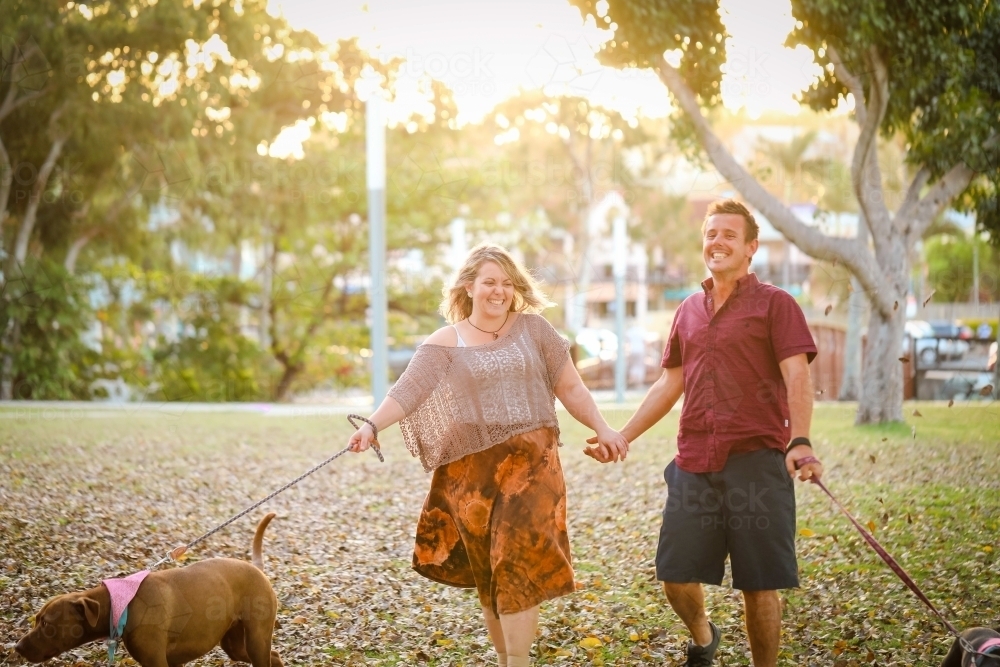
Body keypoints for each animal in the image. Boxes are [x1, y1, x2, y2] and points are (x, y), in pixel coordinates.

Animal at [15, 516, 282, 664]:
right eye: (36, 619)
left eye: (47, 624)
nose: (16, 647)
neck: (122, 602)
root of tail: (256, 568)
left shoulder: (156, 661)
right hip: (236, 645)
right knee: (274, 656)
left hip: (256, 638)